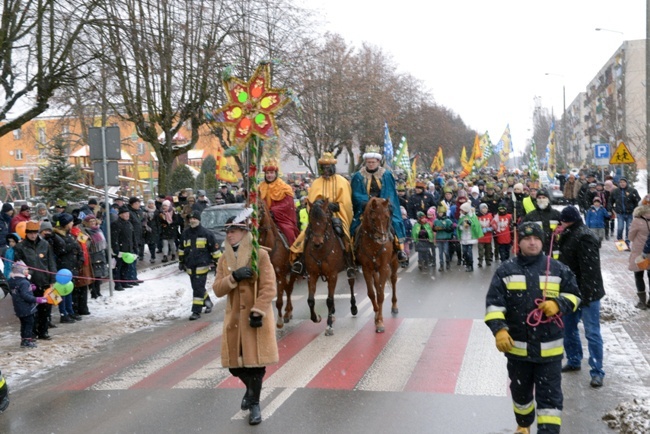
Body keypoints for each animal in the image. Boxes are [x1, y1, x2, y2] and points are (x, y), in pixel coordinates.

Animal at [258, 200, 298, 328]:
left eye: (259, 207)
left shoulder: (280, 274)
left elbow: (279, 301)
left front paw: (280, 321)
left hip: (292, 272)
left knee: (289, 289)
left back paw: (288, 313)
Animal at [302, 198, 356, 336]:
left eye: (325, 219)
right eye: (310, 220)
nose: (317, 242)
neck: (320, 251)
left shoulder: (332, 275)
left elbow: (329, 300)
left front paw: (329, 325)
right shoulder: (312, 275)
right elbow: (310, 300)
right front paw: (316, 317)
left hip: (349, 268)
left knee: (351, 283)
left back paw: (353, 307)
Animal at [354, 197, 394, 332]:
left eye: (387, 217)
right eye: (373, 218)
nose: (382, 238)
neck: (374, 246)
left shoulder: (384, 268)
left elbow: (381, 295)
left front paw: (380, 321)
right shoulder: (366, 269)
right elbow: (372, 293)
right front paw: (376, 315)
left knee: (394, 281)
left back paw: (394, 306)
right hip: (374, 271)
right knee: (376, 286)